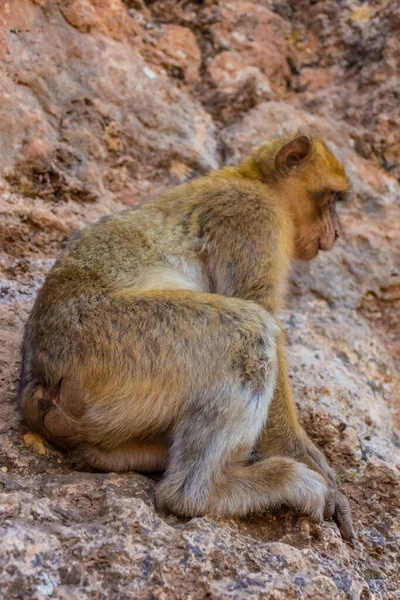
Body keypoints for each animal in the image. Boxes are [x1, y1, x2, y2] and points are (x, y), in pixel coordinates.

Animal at [20, 135, 354, 540]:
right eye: (332, 199)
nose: (337, 232)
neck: (253, 178)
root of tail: (40, 379)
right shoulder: (253, 215)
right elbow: (262, 311)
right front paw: (313, 463)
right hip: (117, 346)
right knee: (248, 330)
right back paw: (211, 492)